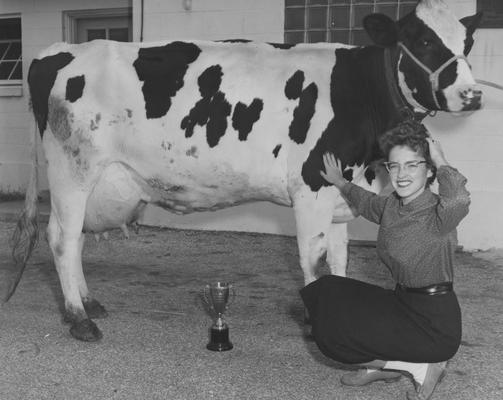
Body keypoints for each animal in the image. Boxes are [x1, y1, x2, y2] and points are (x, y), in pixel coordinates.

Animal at [4, 0, 484, 344]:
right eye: (421, 41)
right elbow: (314, 260)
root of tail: (56, 52)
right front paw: (317, 324)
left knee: (77, 239)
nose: (473, 94)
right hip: (72, 168)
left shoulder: (339, 194)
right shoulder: (310, 188)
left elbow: (340, 260)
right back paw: (78, 319)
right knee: (62, 238)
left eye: (467, 44)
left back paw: (89, 302)